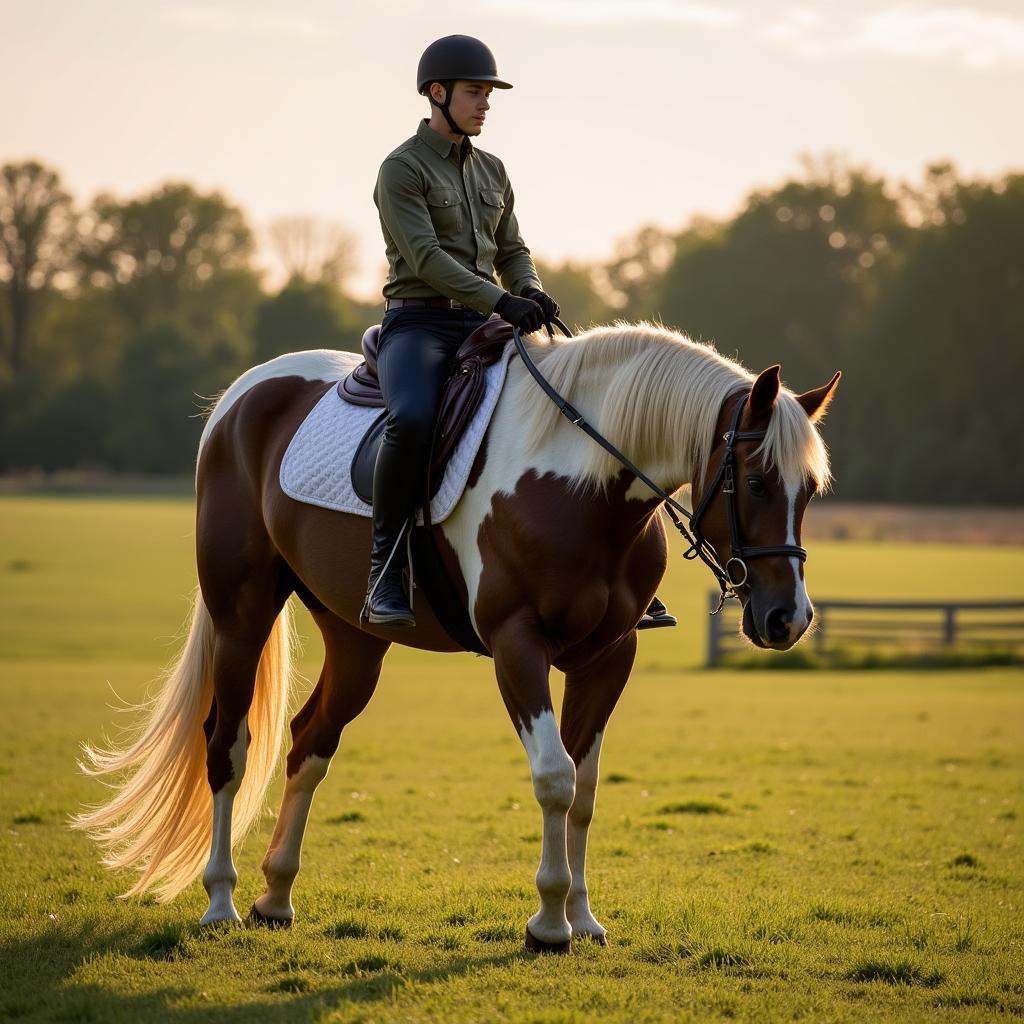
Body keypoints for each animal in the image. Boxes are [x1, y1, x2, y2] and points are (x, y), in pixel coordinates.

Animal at [74, 319, 839, 950]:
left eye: (808, 490)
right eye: (757, 481)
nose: (789, 618)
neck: (578, 484)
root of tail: (242, 397)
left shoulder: (607, 656)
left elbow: (586, 787)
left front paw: (583, 918)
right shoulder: (517, 646)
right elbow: (554, 777)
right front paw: (548, 923)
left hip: (356, 640)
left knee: (309, 741)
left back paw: (277, 897)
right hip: (242, 614)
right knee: (228, 746)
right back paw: (221, 901)